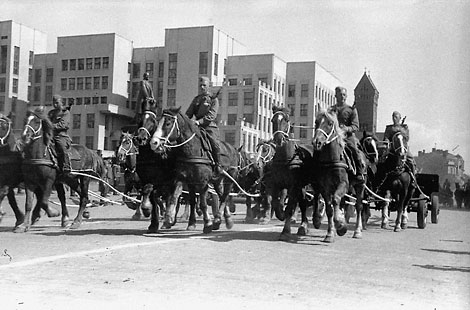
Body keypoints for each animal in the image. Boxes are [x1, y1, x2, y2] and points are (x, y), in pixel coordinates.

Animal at [312, 109, 368, 242]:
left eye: (330, 123)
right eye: (316, 122)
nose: (317, 142)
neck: (332, 159)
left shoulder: (344, 184)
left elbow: (336, 199)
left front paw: (340, 224)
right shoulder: (325, 188)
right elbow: (329, 208)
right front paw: (330, 233)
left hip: (360, 185)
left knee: (359, 206)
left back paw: (357, 231)